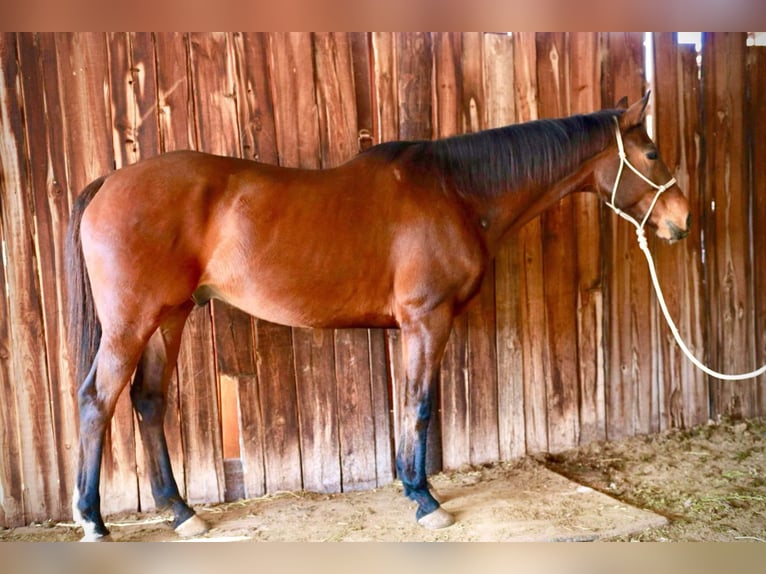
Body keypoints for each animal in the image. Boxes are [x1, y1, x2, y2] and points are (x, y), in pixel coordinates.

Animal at [64, 92, 688, 544]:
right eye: (652, 154)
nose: (681, 220)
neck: (456, 191)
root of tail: (109, 183)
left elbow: (409, 403)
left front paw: (412, 488)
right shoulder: (426, 321)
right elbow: (420, 404)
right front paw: (424, 498)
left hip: (169, 317)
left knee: (147, 401)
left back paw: (180, 511)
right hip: (132, 322)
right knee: (98, 400)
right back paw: (94, 520)